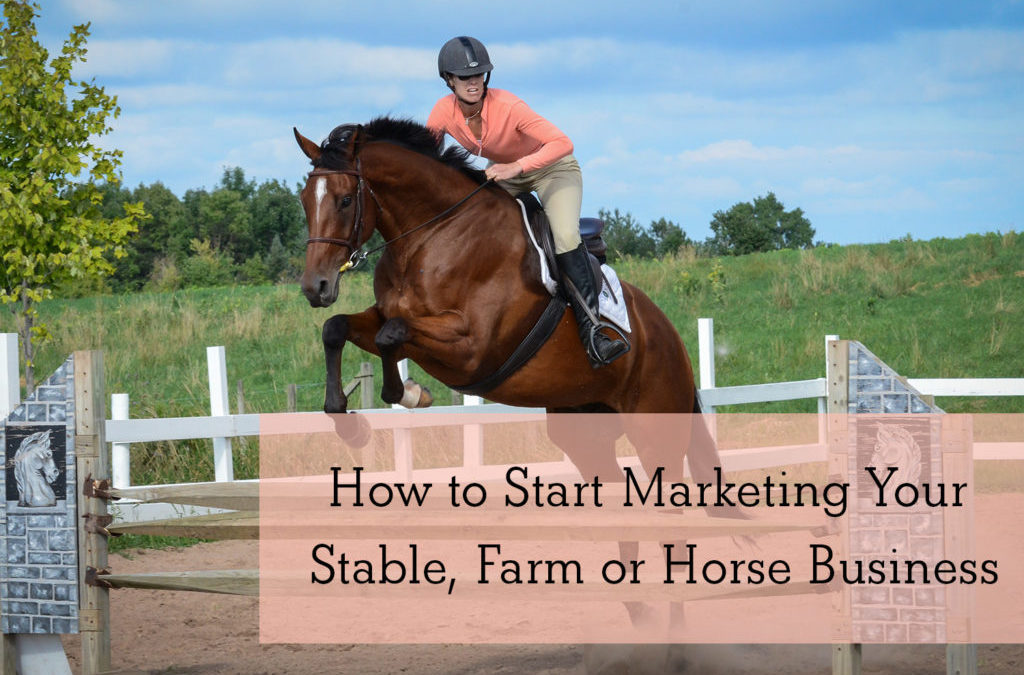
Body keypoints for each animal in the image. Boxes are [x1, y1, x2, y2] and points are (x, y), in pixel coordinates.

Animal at [294, 116, 725, 634]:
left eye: (344, 199)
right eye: (304, 199)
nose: (316, 287)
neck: (432, 234)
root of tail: (669, 334)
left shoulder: (472, 347)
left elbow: (391, 335)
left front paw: (410, 392)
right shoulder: (387, 318)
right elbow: (340, 330)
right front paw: (353, 422)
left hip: (655, 429)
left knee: (673, 519)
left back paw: (676, 627)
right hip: (584, 433)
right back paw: (640, 613)